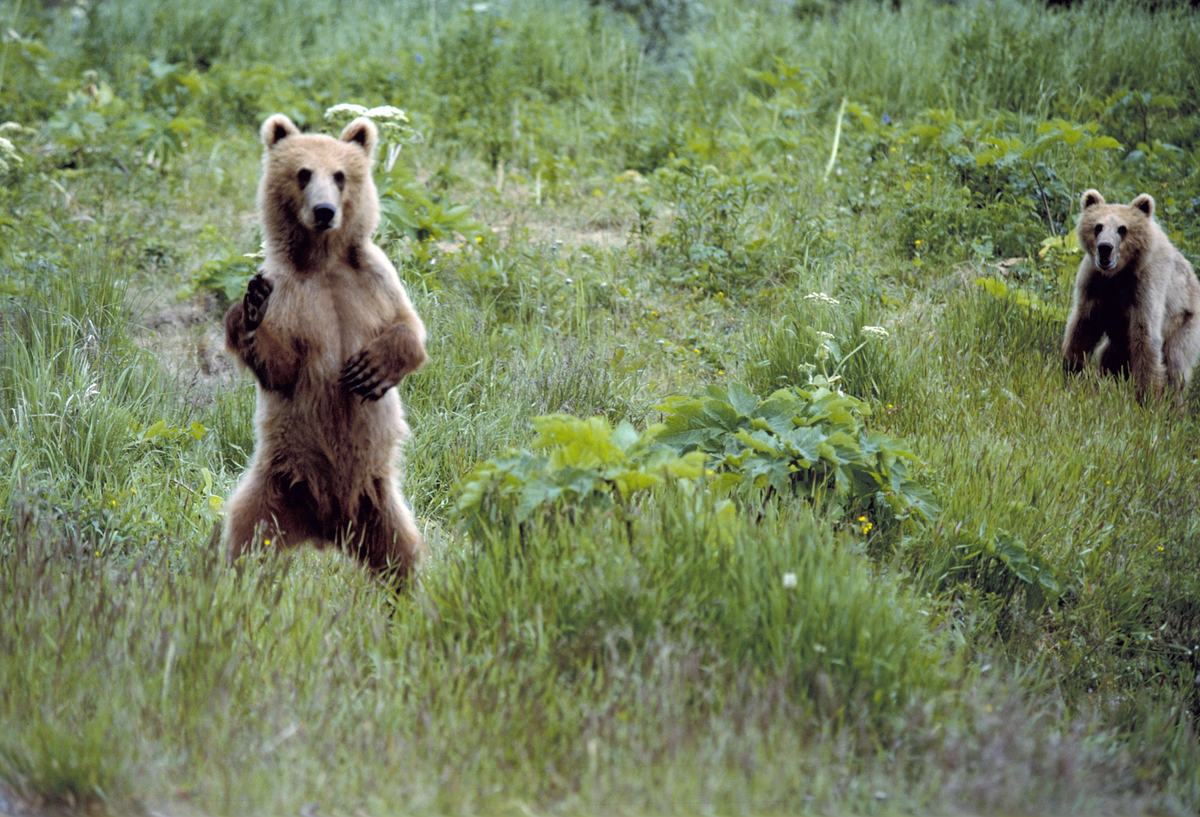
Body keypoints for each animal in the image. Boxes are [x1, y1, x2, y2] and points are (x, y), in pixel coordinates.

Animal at [222, 113, 428, 584]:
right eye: (302, 173)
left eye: (340, 175)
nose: (324, 211)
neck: (324, 263)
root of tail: (327, 528)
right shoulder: (291, 293)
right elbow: (281, 365)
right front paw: (250, 310)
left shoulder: (373, 279)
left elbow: (410, 329)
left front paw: (370, 369)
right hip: (275, 485)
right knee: (244, 539)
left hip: (379, 499)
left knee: (401, 554)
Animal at [1062, 188, 1200, 403]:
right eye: (1098, 226)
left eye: (1122, 229)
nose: (1105, 248)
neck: (1118, 275)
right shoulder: (1094, 283)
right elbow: (1083, 325)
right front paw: (1071, 371)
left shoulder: (1146, 285)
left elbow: (1146, 336)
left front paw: (1147, 397)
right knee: (1109, 357)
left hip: (1183, 323)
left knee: (1175, 364)